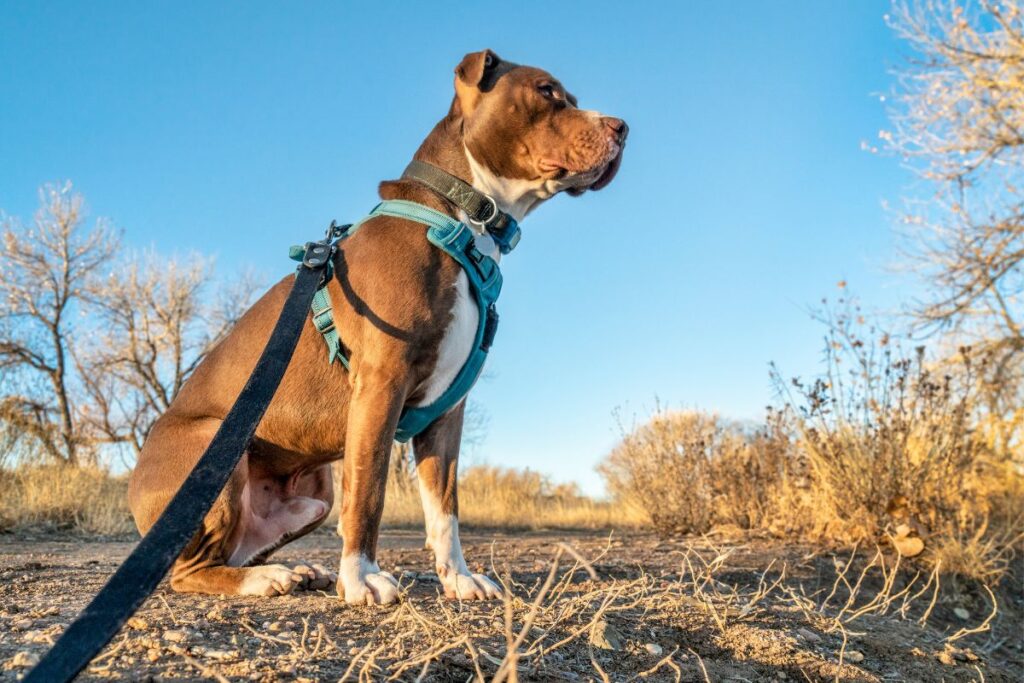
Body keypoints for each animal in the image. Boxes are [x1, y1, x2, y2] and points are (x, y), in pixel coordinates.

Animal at [128, 46, 622, 602]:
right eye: (546, 91)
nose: (622, 127)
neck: (461, 220)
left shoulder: (446, 414)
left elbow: (445, 509)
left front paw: (459, 578)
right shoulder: (381, 385)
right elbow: (368, 492)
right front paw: (362, 577)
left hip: (314, 494)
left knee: (235, 549)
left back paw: (293, 570)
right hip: (215, 451)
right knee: (189, 571)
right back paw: (265, 577)